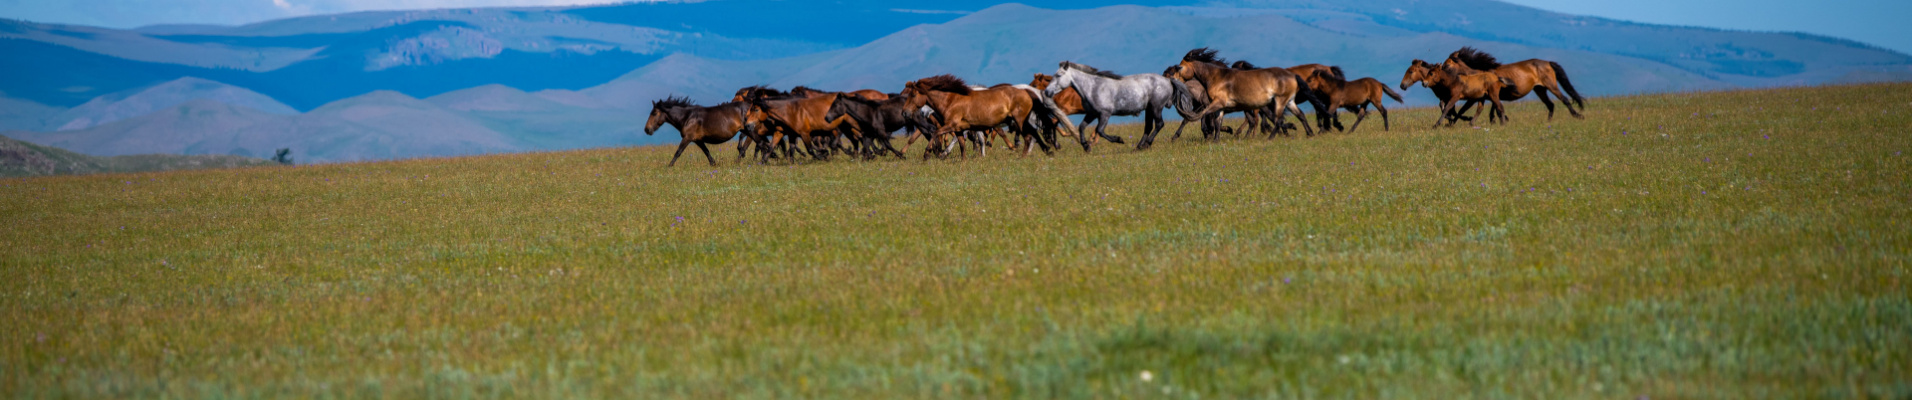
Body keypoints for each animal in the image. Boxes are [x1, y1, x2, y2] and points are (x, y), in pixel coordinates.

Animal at [1040, 61, 1170, 150]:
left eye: (1058, 75)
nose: (1047, 92)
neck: (1093, 87)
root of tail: (1167, 81)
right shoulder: (1092, 113)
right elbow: (1082, 127)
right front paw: (1086, 146)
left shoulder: (1105, 114)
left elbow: (1100, 130)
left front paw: (1119, 139)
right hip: (1149, 109)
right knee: (1149, 127)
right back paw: (1139, 147)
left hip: (1156, 108)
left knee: (1159, 124)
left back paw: (1147, 144)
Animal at [1162, 47, 1315, 138]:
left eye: (1177, 68)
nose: (1165, 84)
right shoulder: (1205, 106)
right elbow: (1199, 121)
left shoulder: (1207, 105)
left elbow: (1200, 121)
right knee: (1263, 119)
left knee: (1268, 118)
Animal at [1437, 47, 1590, 119]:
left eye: (1447, 65)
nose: (1441, 77)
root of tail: (1548, 62)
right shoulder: (1490, 97)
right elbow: (1494, 111)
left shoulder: (1486, 97)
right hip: (1540, 89)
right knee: (1550, 104)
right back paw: (1548, 122)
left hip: (1551, 85)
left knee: (1564, 99)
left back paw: (1578, 116)